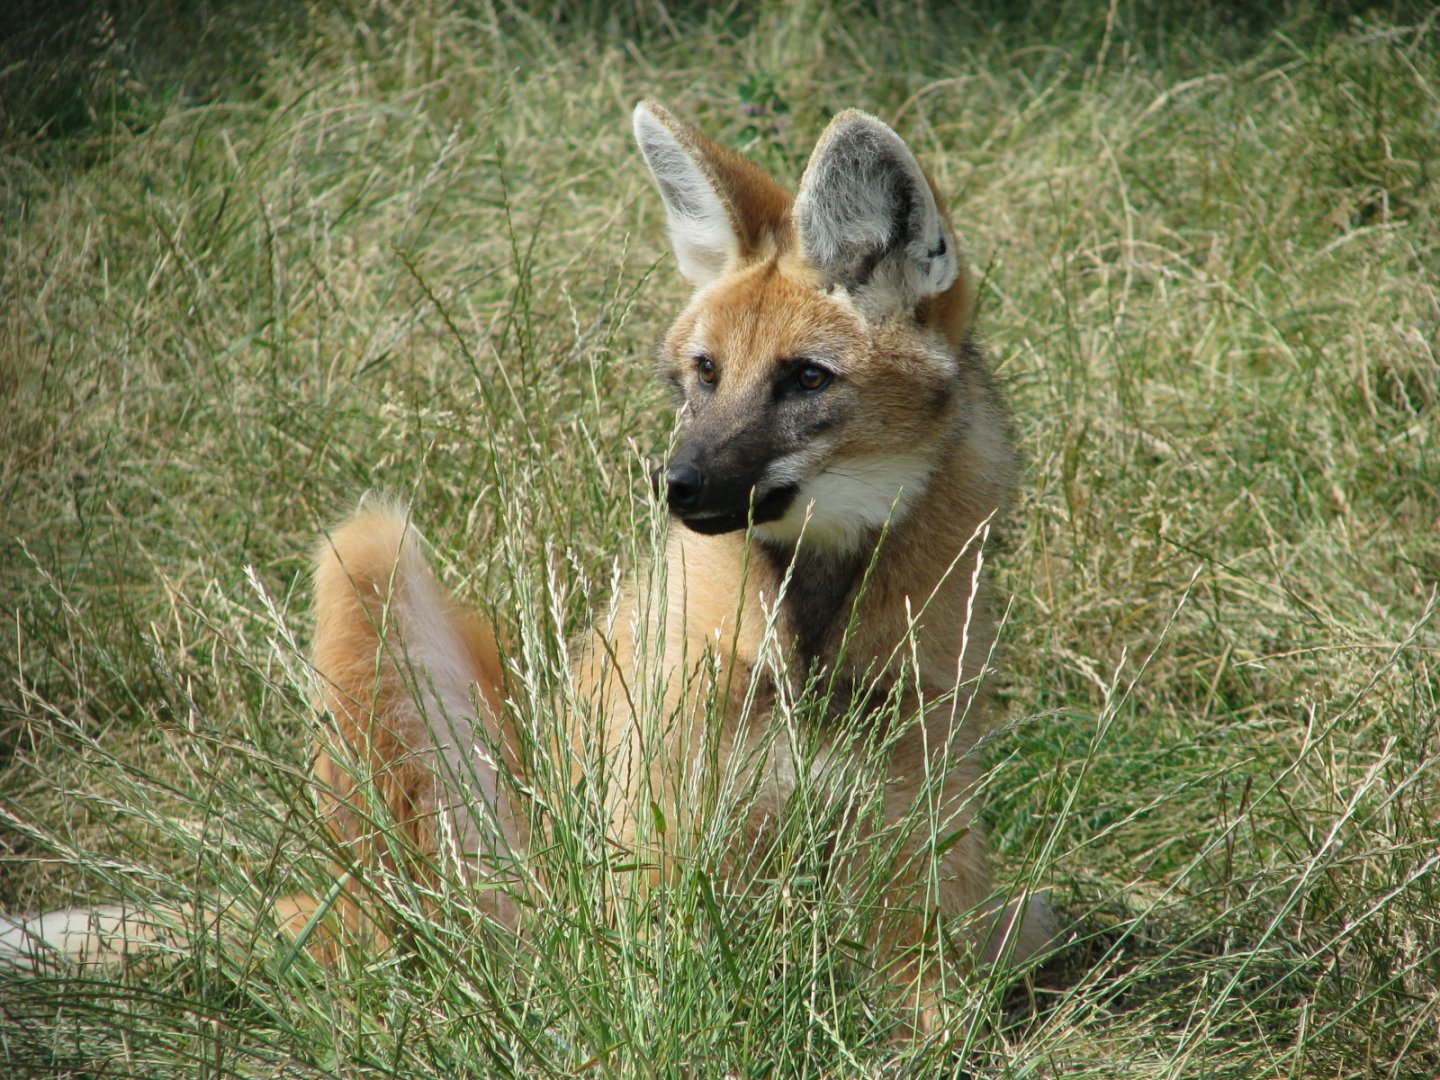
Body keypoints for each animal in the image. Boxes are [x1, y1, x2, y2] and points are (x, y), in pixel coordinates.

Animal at [2, 101, 1051, 1022]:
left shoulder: (916, 798)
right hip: (384, 596)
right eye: (706, 374)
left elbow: (933, 999)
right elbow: (659, 978)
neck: (812, 619)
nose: (676, 483)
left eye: (803, 378)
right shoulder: (660, 814)